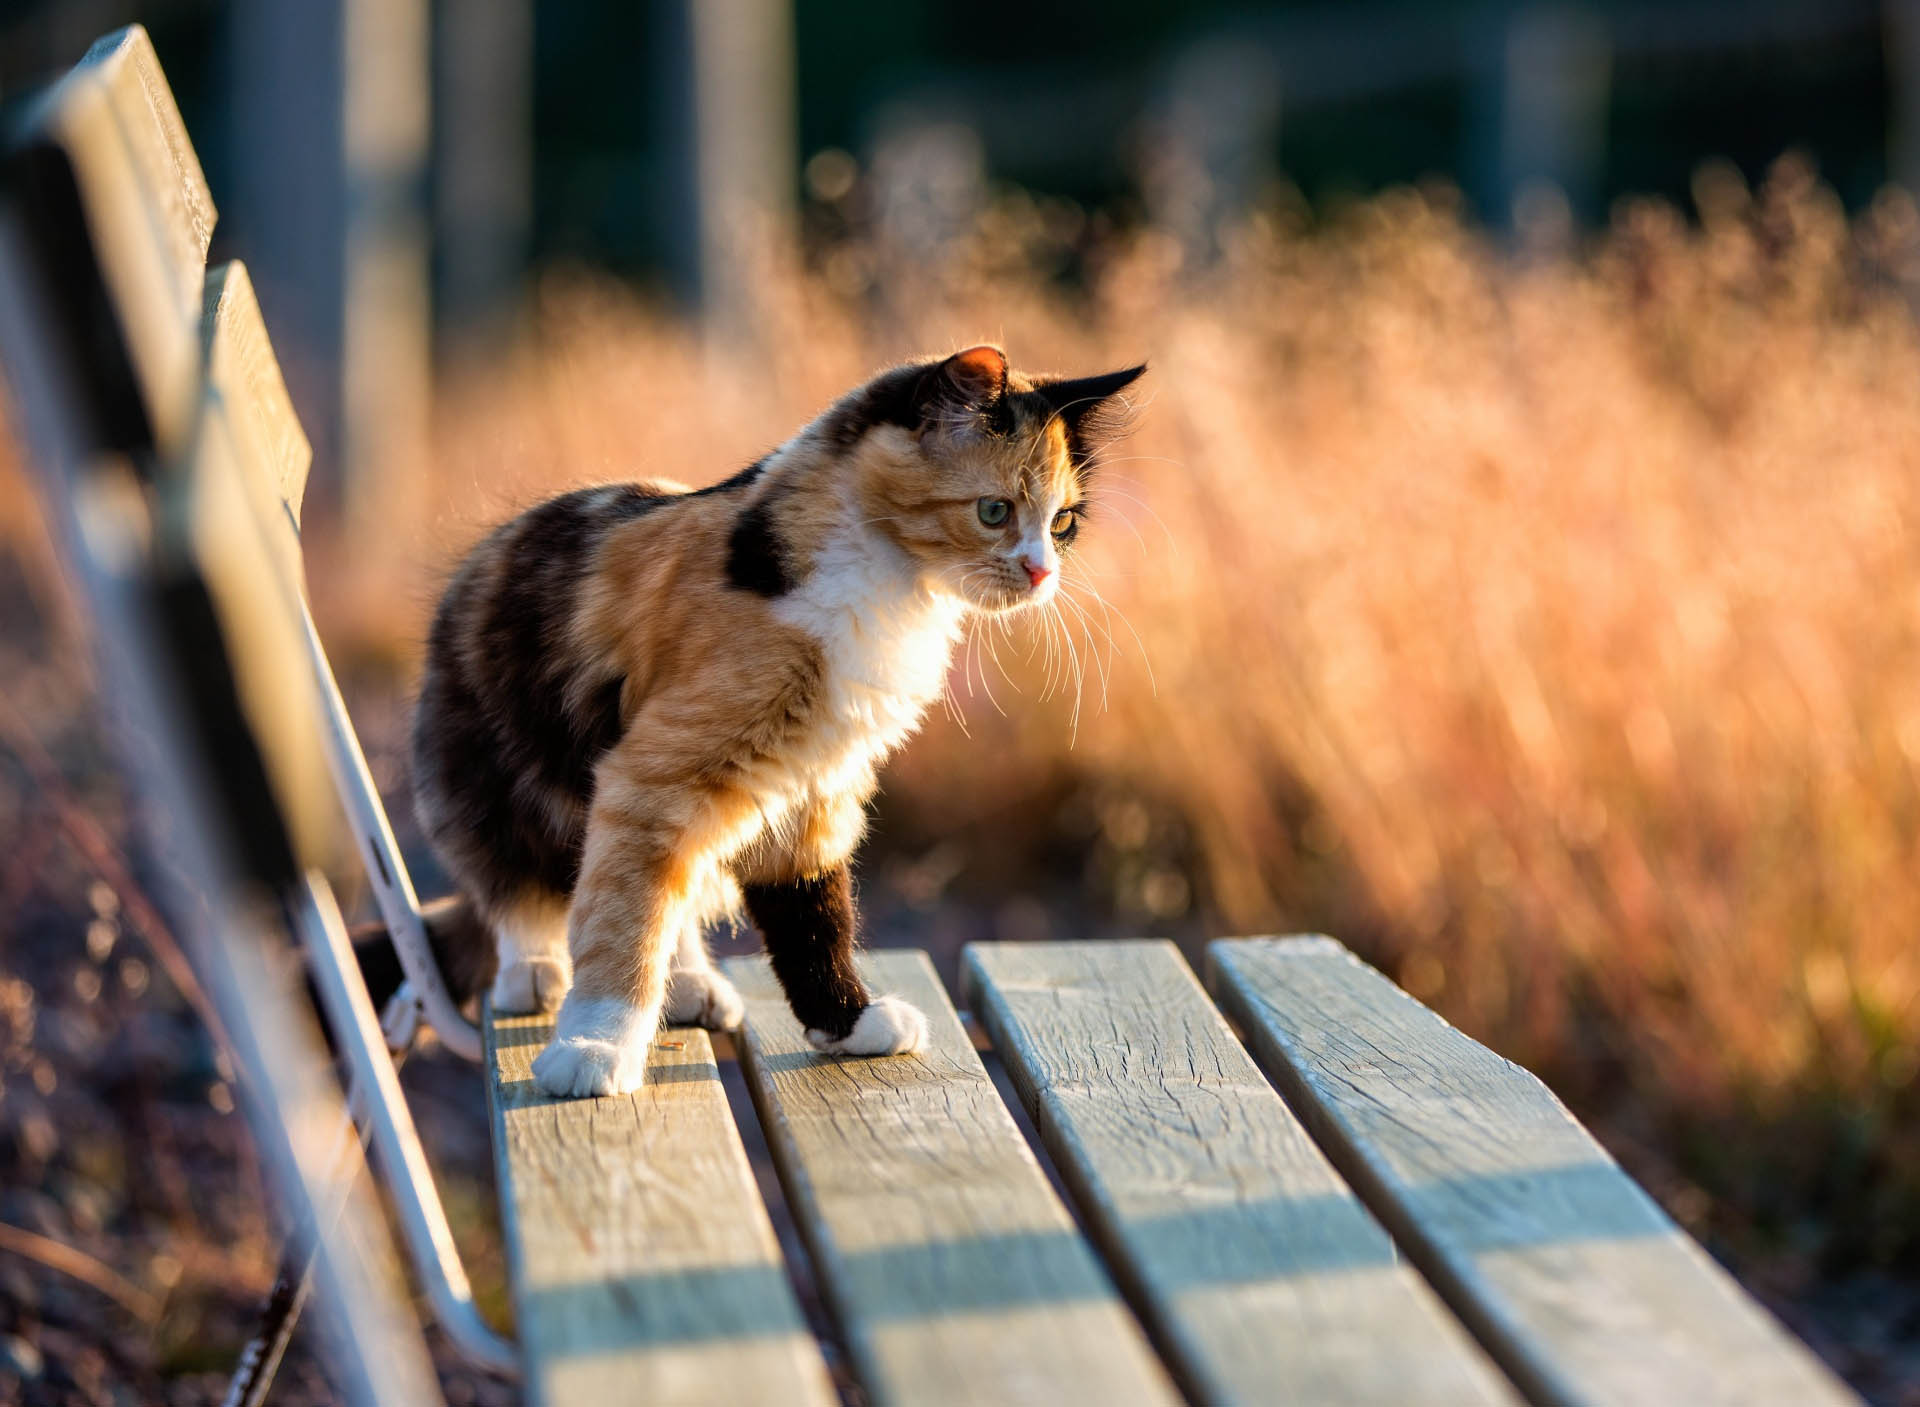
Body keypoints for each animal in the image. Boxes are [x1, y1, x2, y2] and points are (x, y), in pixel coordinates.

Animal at [405, 343, 1136, 1097]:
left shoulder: (815, 781)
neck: (884, 587)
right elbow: (622, 922)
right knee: (522, 887)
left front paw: (847, 1021)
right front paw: (595, 1046)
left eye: (1063, 523)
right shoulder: (653, 777)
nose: (1042, 574)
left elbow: (812, 913)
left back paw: (688, 983)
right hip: (495, 778)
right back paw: (533, 973)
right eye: (994, 511)